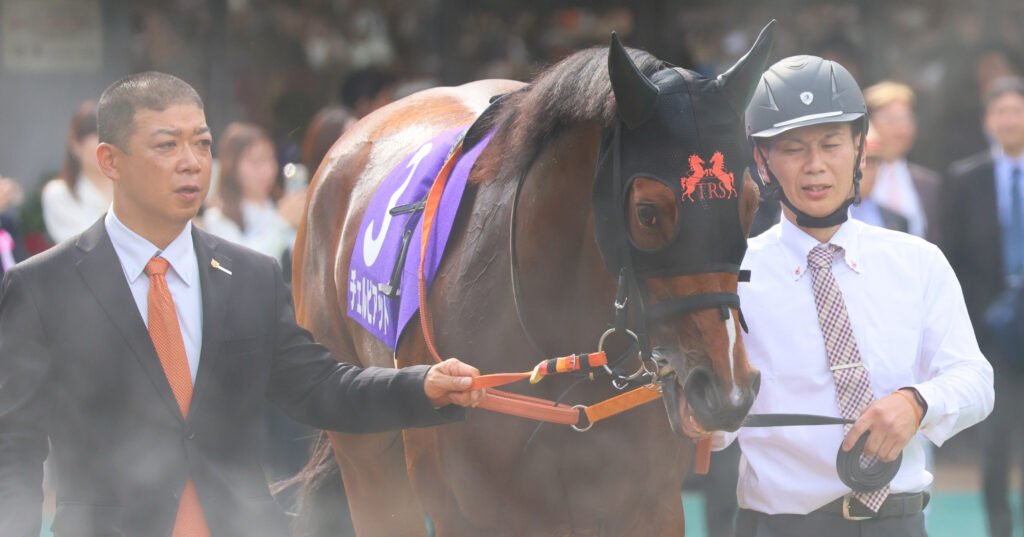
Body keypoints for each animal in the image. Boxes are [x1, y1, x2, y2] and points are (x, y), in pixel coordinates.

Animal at [291, 22, 775, 536]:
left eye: (749, 203)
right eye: (647, 213)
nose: (726, 390)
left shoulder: (649, 507)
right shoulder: (466, 514)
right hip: (367, 460)